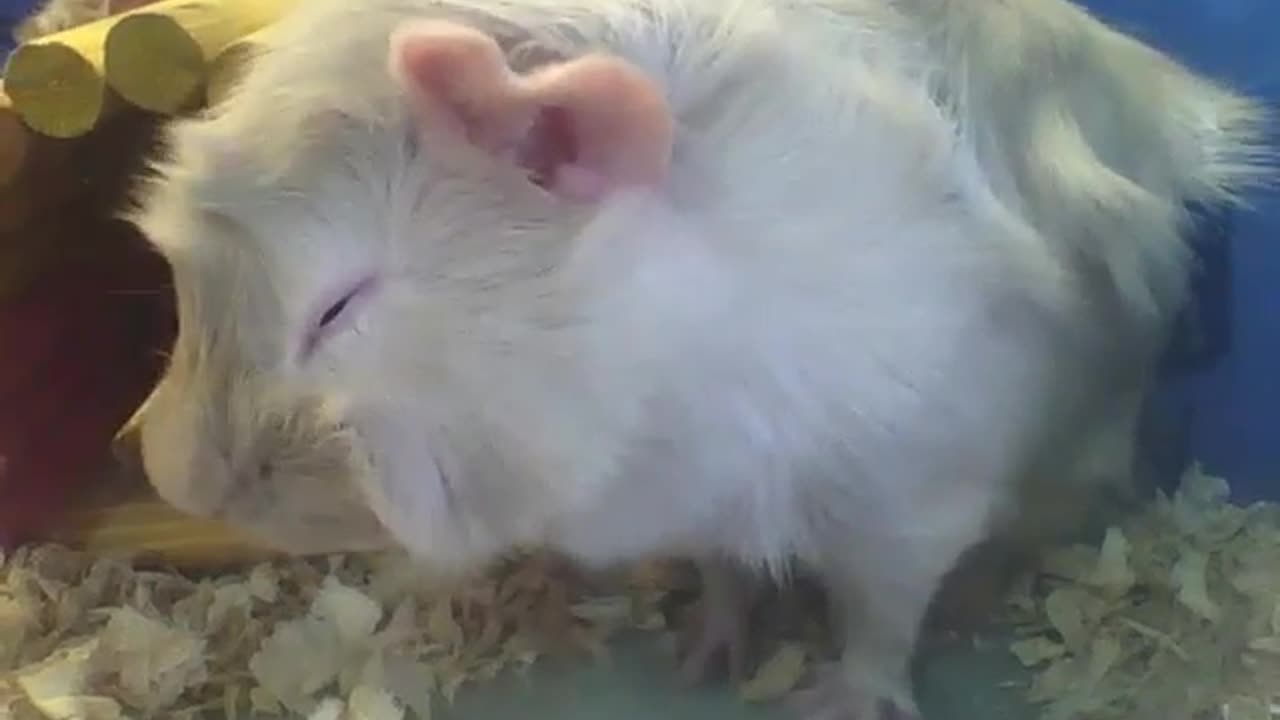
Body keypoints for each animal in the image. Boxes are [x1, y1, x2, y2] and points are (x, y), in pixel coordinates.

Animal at [123, 0, 1270, 717]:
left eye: (338, 305)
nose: (170, 477)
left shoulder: (906, 504)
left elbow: (878, 619)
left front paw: (832, 701)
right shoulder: (709, 511)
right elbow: (727, 575)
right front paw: (703, 661)